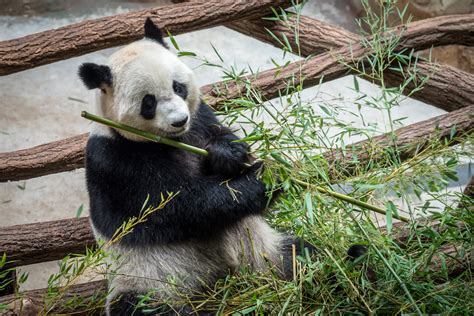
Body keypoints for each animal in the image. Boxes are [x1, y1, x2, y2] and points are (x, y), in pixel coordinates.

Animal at [78, 18, 318, 314]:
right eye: (149, 102)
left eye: (178, 87)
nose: (179, 120)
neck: (170, 140)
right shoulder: (116, 159)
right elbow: (179, 208)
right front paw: (263, 179)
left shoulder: (200, 117)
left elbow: (219, 135)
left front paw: (228, 154)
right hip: (149, 281)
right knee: (139, 306)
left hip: (263, 254)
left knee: (301, 258)